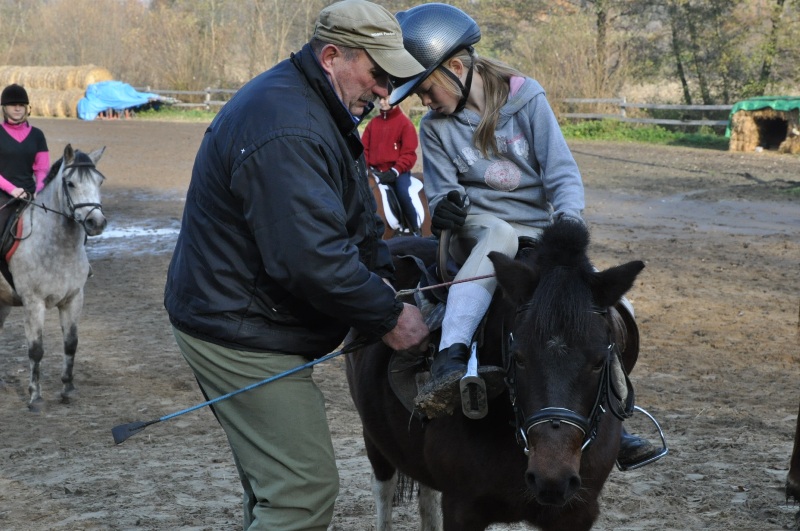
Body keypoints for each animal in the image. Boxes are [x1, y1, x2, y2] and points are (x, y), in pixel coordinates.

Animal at [0, 144, 106, 412]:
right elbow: (36, 350)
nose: (96, 223)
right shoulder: (34, 303)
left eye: (99, 181)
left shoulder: (73, 299)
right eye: (70, 183)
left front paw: (68, 389)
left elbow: (70, 343)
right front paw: (35, 397)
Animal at [346, 221, 648, 531]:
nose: (553, 477)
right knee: (384, 490)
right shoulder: (461, 510)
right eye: (519, 358)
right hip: (376, 440)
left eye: (600, 362)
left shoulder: (577, 513)